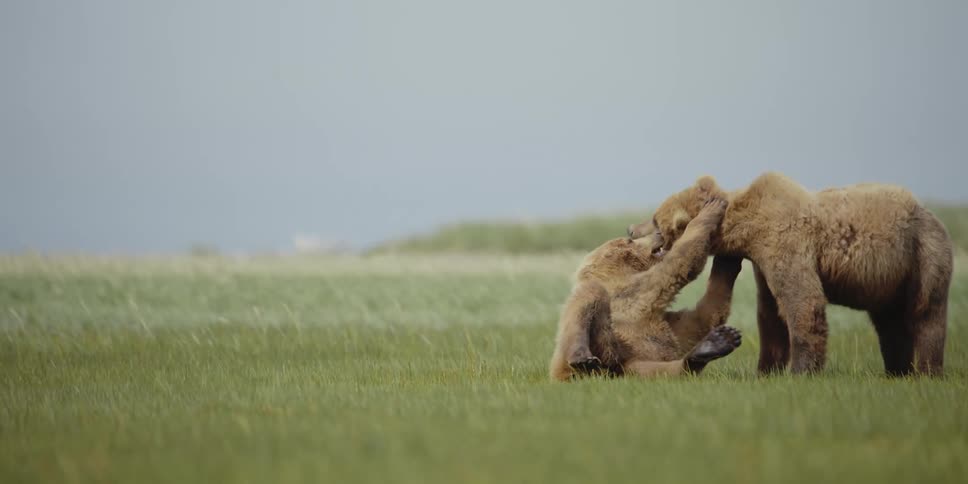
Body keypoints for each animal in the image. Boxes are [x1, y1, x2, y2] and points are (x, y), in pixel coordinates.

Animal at [550, 198, 743, 381]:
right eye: (629, 240)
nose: (658, 233)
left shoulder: (663, 321)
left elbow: (699, 319)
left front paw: (728, 260)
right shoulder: (636, 290)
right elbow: (679, 263)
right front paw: (711, 208)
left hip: (630, 366)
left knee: (658, 370)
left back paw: (710, 348)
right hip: (605, 350)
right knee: (587, 299)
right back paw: (582, 358)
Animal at [628, 172, 953, 376]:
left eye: (655, 220)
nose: (630, 229)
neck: (748, 227)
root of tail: (929, 213)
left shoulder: (785, 240)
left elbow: (802, 302)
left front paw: (801, 370)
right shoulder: (762, 261)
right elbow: (770, 314)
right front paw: (765, 370)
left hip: (922, 253)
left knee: (926, 313)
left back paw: (927, 371)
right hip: (888, 279)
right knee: (889, 323)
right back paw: (897, 370)